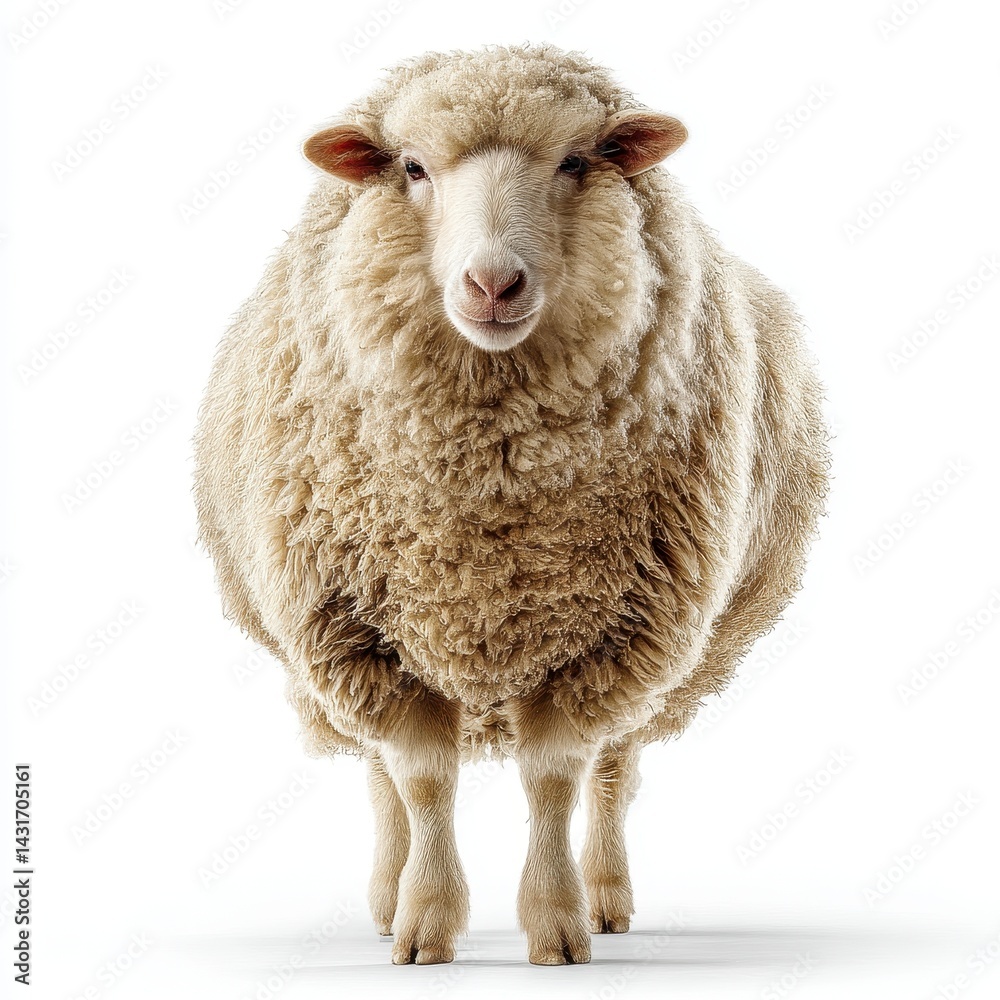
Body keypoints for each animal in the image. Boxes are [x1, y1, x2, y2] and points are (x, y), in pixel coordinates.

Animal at [192, 42, 829, 967]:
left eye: (574, 162)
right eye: (412, 168)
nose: (493, 283)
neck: (487, 485)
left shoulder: (611, 637)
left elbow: (557, 777)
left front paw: (557, 926)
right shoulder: (362, 634)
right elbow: (420, 780)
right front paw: (423, 924)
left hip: (670, 647)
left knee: (613, 771)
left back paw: (606, 898)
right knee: (380, 775)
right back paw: (386, 897)